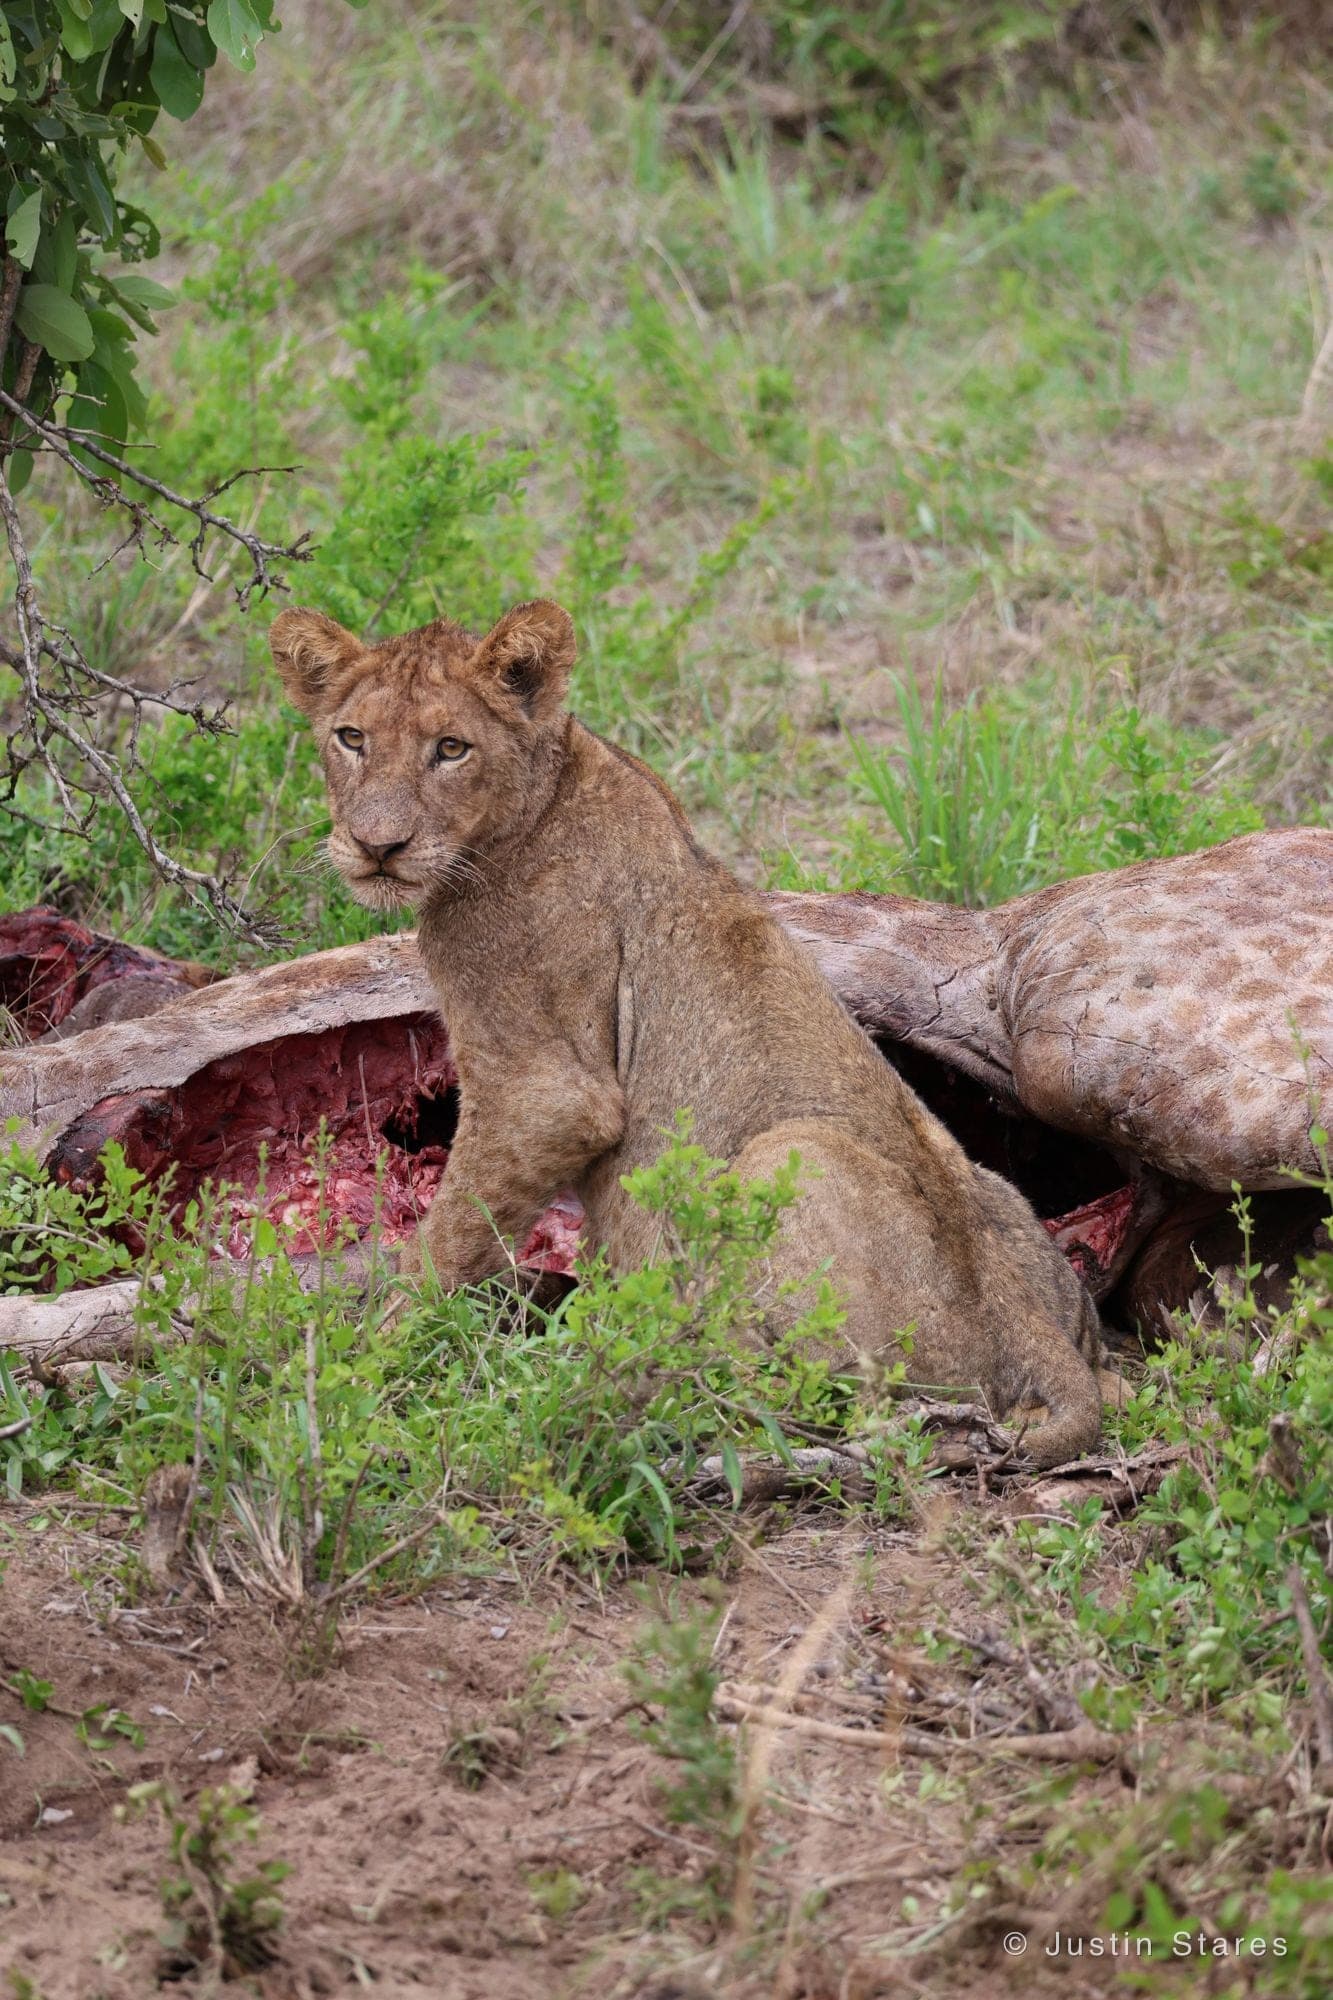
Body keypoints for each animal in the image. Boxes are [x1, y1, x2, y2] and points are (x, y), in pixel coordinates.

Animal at [271, 598, 1105, 1467]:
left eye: (450, 748)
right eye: (351, 738)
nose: (377, 847)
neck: (542, 792)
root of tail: (1032, 1331)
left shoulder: (546, 1093)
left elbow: (447, 1239)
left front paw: (360, 1370)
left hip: (792, 1152)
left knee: (823, 1397)